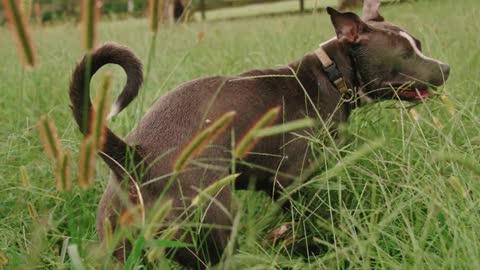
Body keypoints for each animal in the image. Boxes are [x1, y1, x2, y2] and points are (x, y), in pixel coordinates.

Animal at [67, 1, 450, 268]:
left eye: (418, 44)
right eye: (405, 54)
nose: (445, 67)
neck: (332, 75)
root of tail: (134, 159)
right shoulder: (295, 179)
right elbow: (313, 218)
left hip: (121, 249)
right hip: (217, 224)